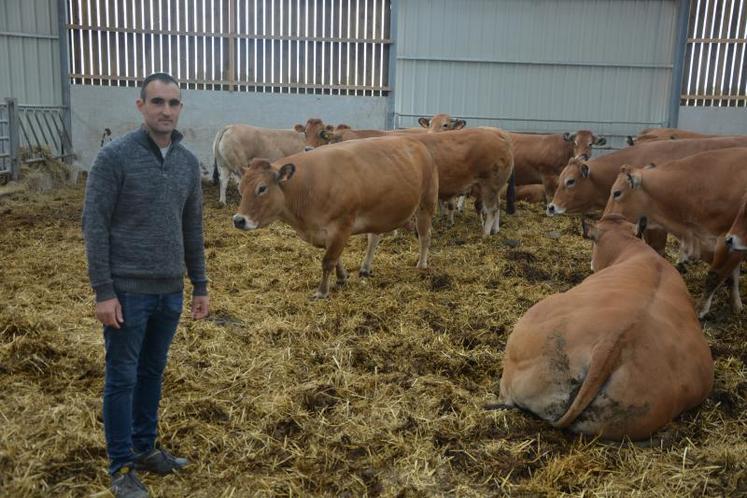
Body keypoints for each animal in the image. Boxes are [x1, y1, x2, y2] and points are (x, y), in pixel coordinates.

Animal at [228, 135, 438, 300]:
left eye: (262, 188)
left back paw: (422, 264)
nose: (238, 220)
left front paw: (322, 292)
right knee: (374, 238)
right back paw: (365, 267)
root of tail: (415, 142)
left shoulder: (341, 226)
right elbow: (336, 258)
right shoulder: (326, 233)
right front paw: (342, 277)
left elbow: (328, 260)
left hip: (426, 204)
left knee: (425, 235)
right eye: (240, 188)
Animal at [600, 148, 747, 320]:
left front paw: (701, 309)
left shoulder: (728, 240)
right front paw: (736, 304)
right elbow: (732, 276)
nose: (605, 219)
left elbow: (715, 276)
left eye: (617, 193)